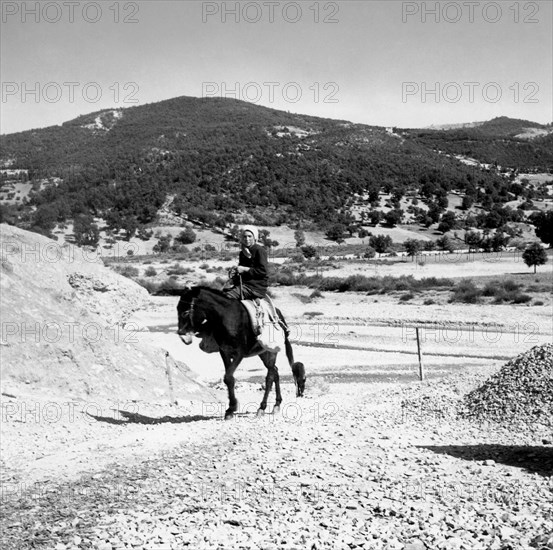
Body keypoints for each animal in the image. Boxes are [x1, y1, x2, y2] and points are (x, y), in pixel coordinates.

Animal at [176, 286, 306, 420]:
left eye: (185, 312)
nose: (181, 334)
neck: (228, 317)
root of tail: (279, 317)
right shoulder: (225, 352)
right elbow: (229, 378)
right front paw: (230, 409)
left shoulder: (239, 353)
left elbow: (228, 377)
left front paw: (232, 408)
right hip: (263, 353)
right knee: (275, 372)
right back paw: (276, 404)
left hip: (271, 351)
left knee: (270, 376)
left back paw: (262, 408)